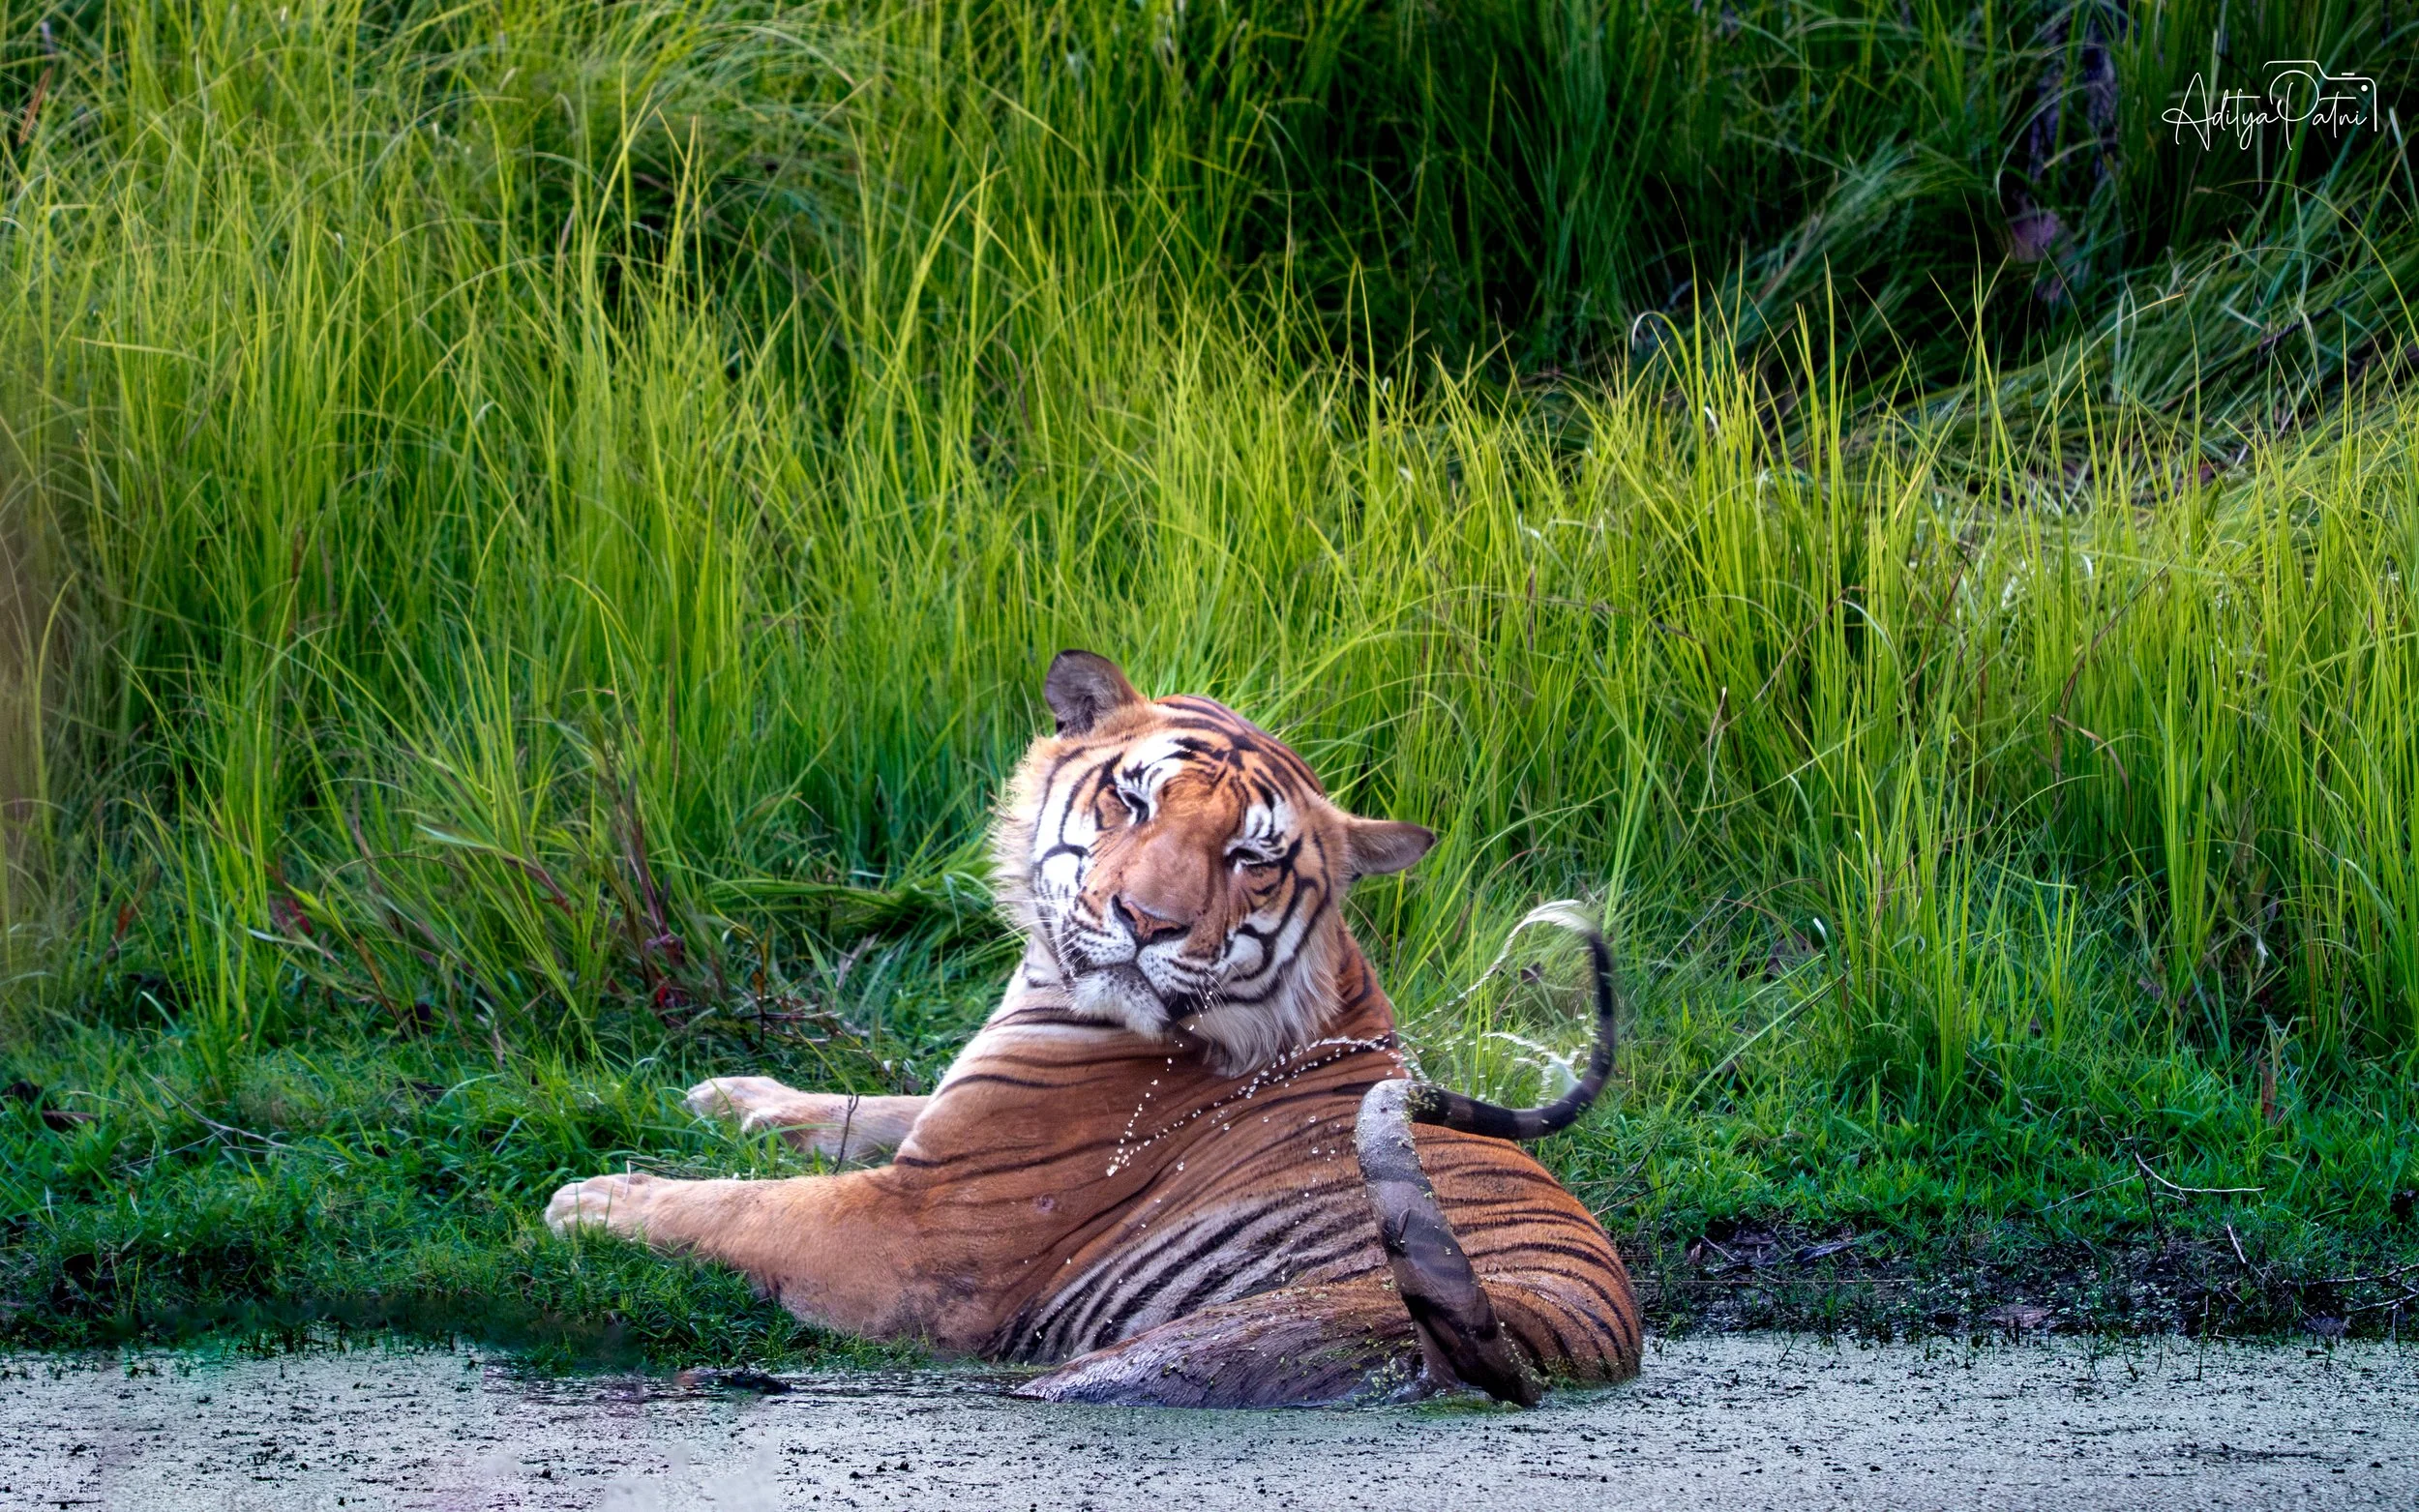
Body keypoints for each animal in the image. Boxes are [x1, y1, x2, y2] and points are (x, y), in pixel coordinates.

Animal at [546, 651, 1641, 1405]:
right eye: (1132, 797)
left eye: (1251, 857)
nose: (1145, 920)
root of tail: (1532, 1348)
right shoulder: (947, 1123)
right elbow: (866, 1103)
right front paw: (728, 1094)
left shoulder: (914, 1227)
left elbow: (739, 1207)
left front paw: (596, 1197)